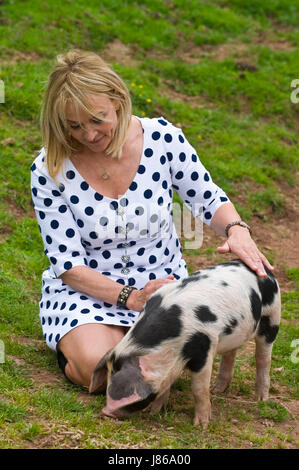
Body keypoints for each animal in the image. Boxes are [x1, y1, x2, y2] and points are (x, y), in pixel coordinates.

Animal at [90, 258, 282, 428]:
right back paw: (217, 390)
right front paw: (153, 412)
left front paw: (201, 425)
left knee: (263, 359)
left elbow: (199, 388)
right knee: (230, 354)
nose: (106, 412)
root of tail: (266, 271)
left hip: (272, 316)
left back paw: (261, 399)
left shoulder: (205, 347)